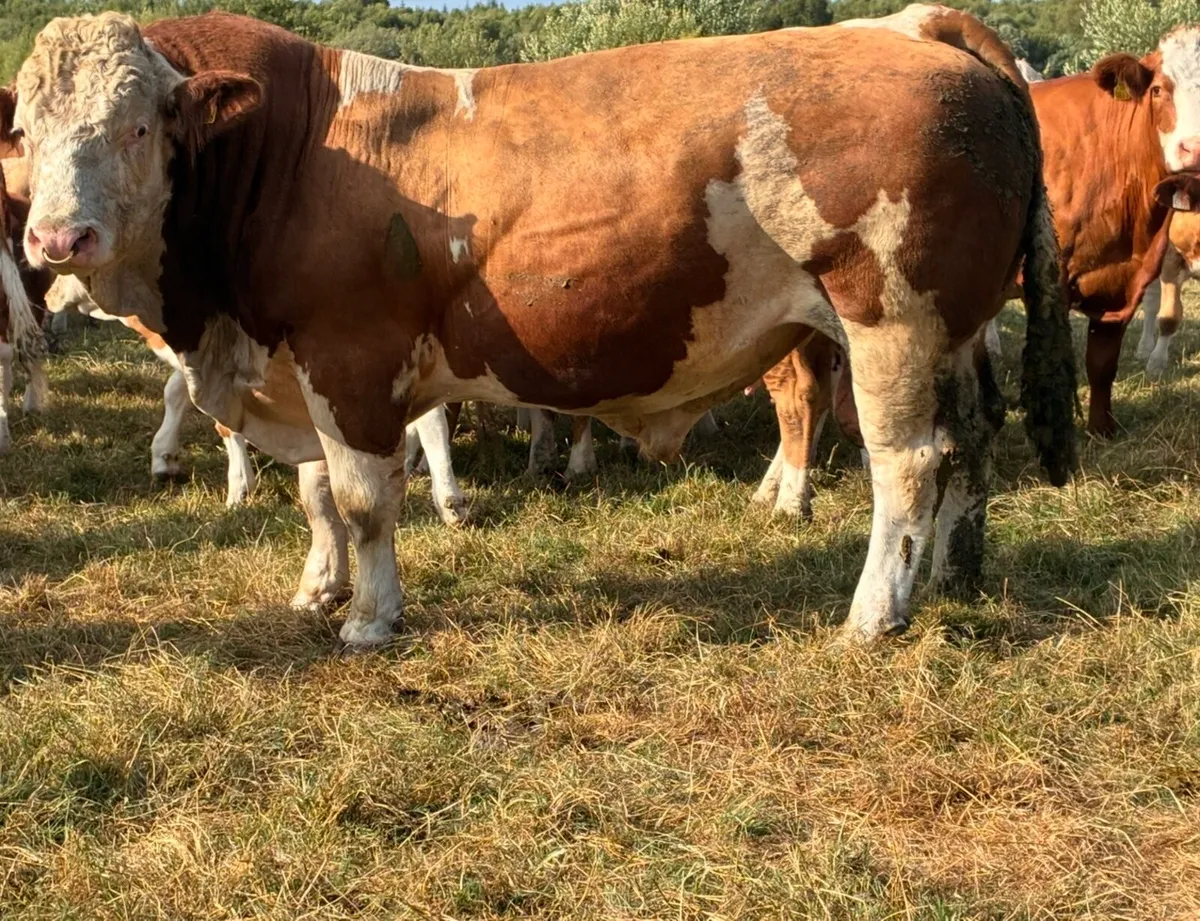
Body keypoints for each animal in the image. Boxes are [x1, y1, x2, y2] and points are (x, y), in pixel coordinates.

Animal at [2, 7, 1075, 646]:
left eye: (140, 124)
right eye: (27, 132)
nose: (57, 237)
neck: (294, 151)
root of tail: (914, 30)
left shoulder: (352, 360)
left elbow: (361, 499)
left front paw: (369, 617)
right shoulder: (298, 369)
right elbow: (314, 497)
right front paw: (319, 588)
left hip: (889, 320)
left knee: (910, 462)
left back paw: (875, 610)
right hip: (957, 331)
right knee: (973, 440)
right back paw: (956, 573)